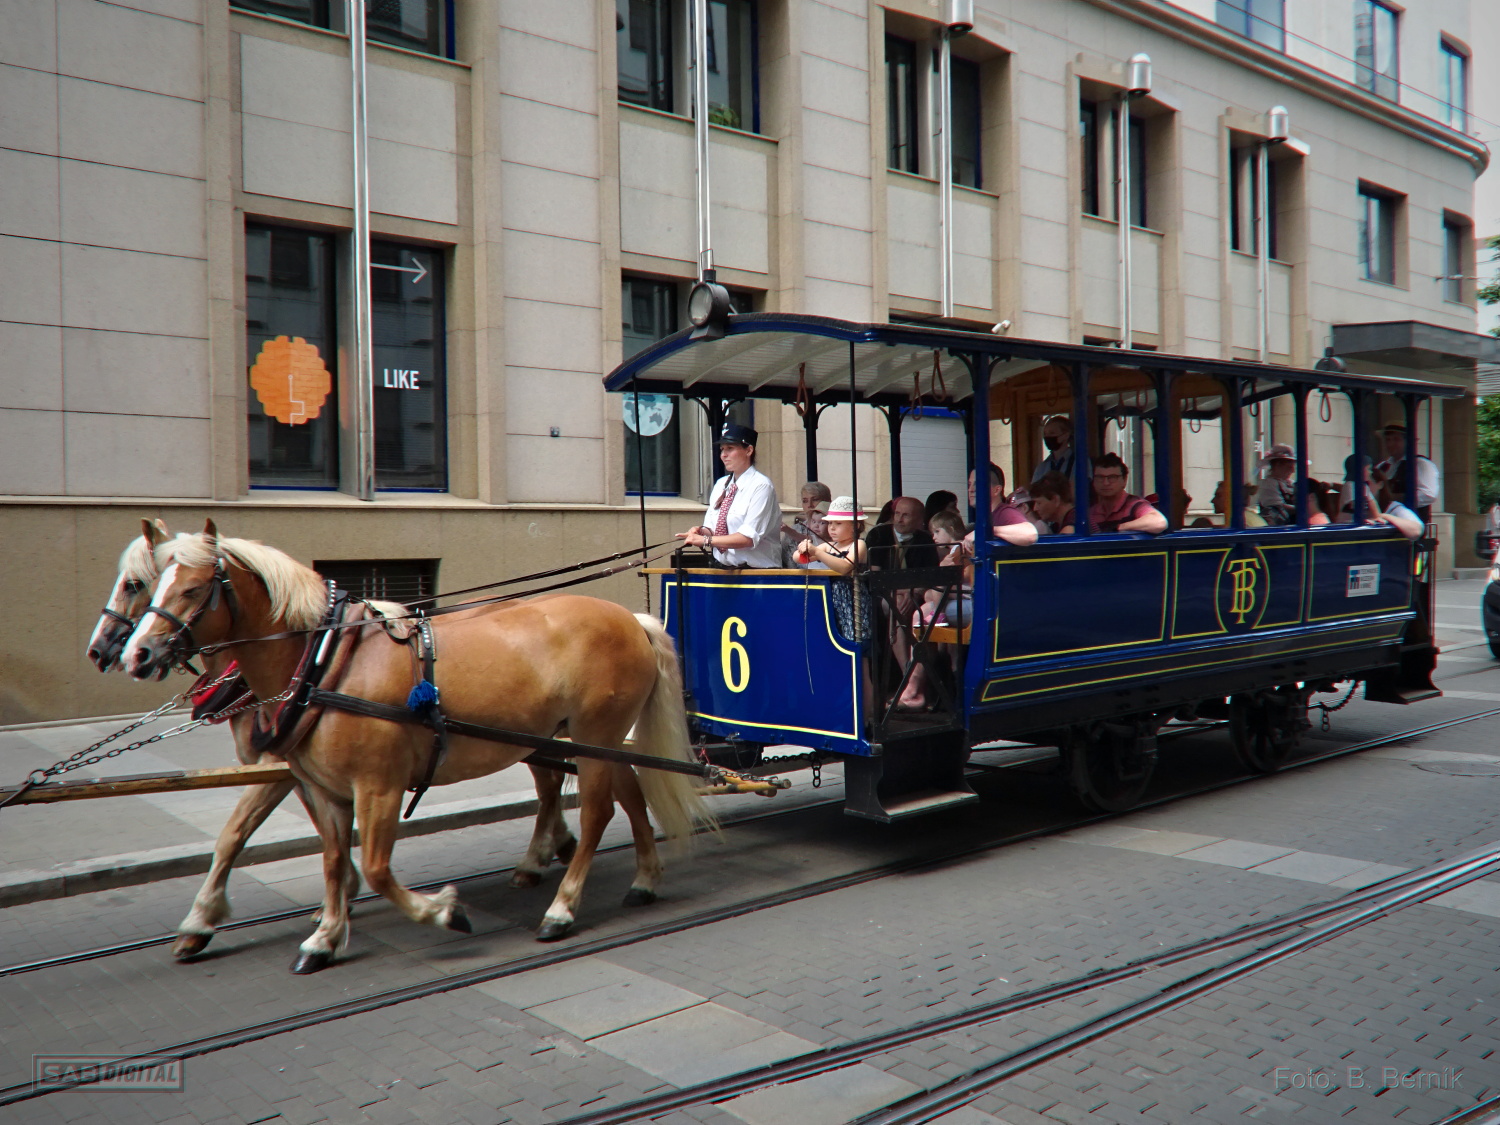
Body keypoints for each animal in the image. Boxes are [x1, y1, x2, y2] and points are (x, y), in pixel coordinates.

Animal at [119, 521, 711, 972]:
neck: (324, 661)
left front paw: (443, 911)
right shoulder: (324, 788)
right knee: (628, 794)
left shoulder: (376, 786)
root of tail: (629, 617)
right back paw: (643, 877)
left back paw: (562, 906)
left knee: (596, 813)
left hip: (593, 736)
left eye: (192, 589)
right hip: (600, 740)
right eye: (151, 586)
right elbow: (332, 859)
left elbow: (377, 868)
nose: (135, 653)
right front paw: (326, 935)